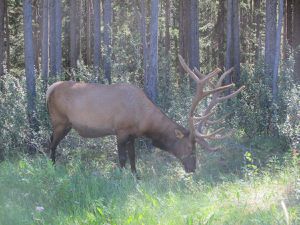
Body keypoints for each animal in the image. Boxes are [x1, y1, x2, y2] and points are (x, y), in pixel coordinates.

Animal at [46, 55, 244, 174]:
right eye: (189, 147)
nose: (192, 169)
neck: (143, 122)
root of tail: (50, 89)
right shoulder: (121, 130)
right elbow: (122, 159)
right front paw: (120, 177)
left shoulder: (132, 135)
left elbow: (134, 158)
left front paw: (136, 177)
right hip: (60, 121)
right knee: (51, 144)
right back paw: (52, 167)